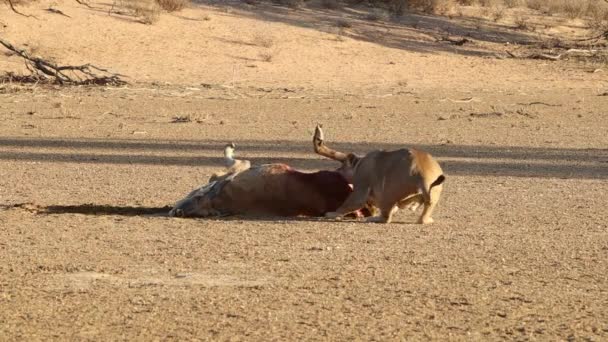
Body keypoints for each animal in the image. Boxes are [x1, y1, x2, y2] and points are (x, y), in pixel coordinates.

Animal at [312, 125, 444, 224]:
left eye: (341, 167)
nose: (337, 171)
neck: (358, 163)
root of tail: (421, 174)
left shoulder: (361, 187)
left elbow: (349, 204)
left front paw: (333, 213)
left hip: (389, 192)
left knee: (385, 218)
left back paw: (372, 218)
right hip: (432, 195)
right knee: (422, 214)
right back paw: (426, 217)